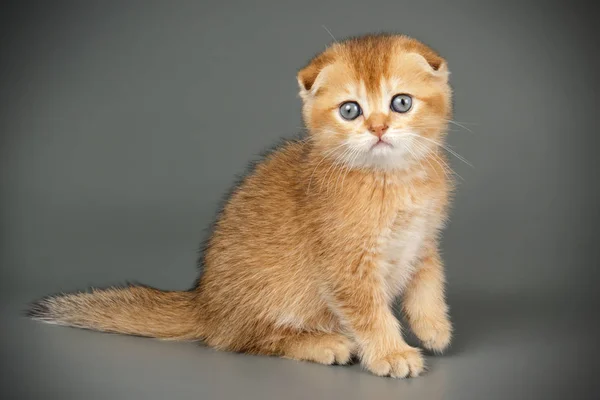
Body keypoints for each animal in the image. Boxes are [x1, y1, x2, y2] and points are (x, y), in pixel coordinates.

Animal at [25, 34, 452, 378]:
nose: (379, 128)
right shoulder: (347, 266)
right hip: (273, 295)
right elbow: (370, 314)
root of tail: (204, 302)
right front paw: (392, 354)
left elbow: (428, 281)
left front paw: (434, 327)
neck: (394, 180)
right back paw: (322, 343)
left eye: (401, 103)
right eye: (350, 110)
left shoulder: (423, 239)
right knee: (242, 340)